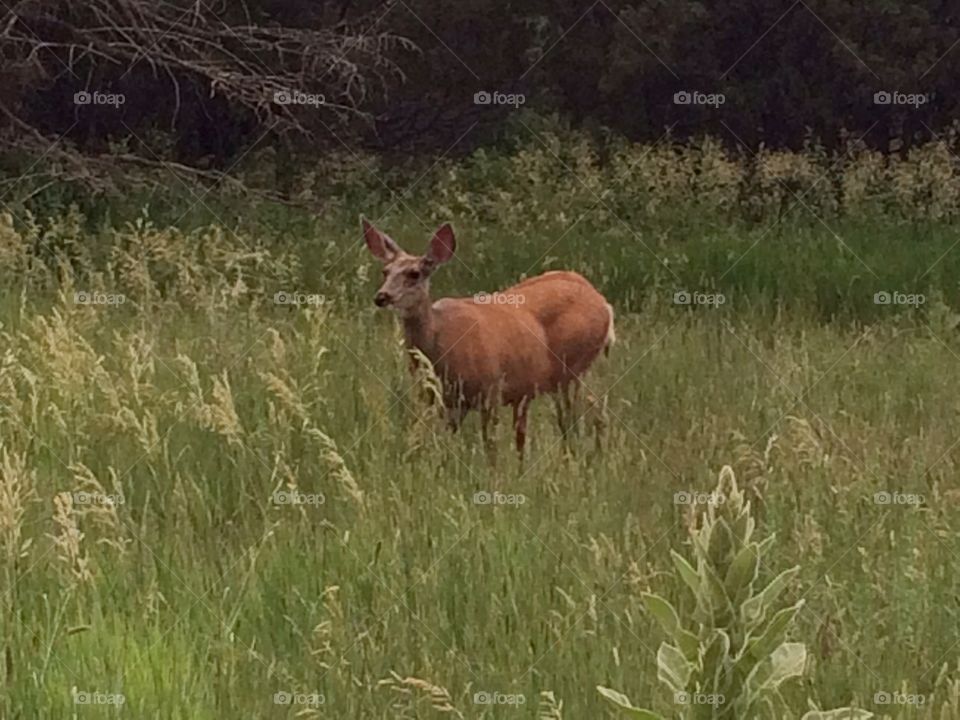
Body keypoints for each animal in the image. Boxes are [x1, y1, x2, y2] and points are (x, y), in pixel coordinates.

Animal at [362, 217, 615, 457]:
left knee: (579, 419)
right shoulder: (440, 397)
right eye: (385, 272)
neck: (439, 343)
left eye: (414, 274)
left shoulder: (490, 388)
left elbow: (490, 446)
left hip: (572, 367)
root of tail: (603, 302)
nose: (381, 296)